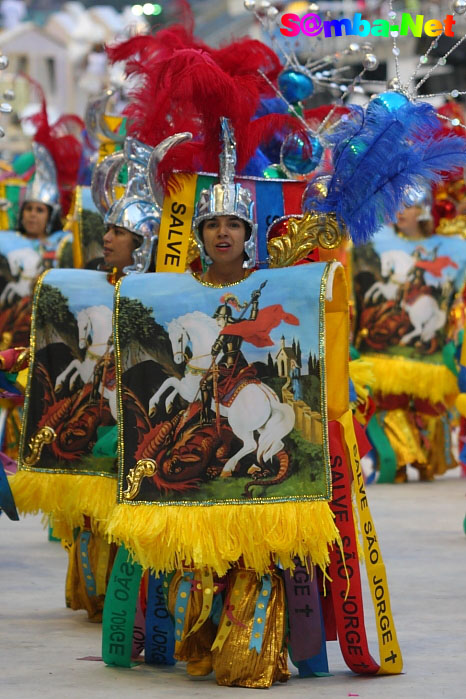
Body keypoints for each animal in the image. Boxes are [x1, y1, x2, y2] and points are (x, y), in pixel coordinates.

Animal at [149, 310, 294, 476]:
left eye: (179, 338)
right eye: (170, 337)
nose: (178, 359)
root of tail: (271, 400)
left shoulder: (190, 390)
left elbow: (170, 381)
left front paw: (152, 407)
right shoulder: (188, 388)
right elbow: (172, 384)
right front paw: (168, 405)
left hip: (239, 425)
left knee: (252, 445)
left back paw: (228, 468)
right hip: (262, 426)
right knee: (275, 444)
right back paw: (258, 466)